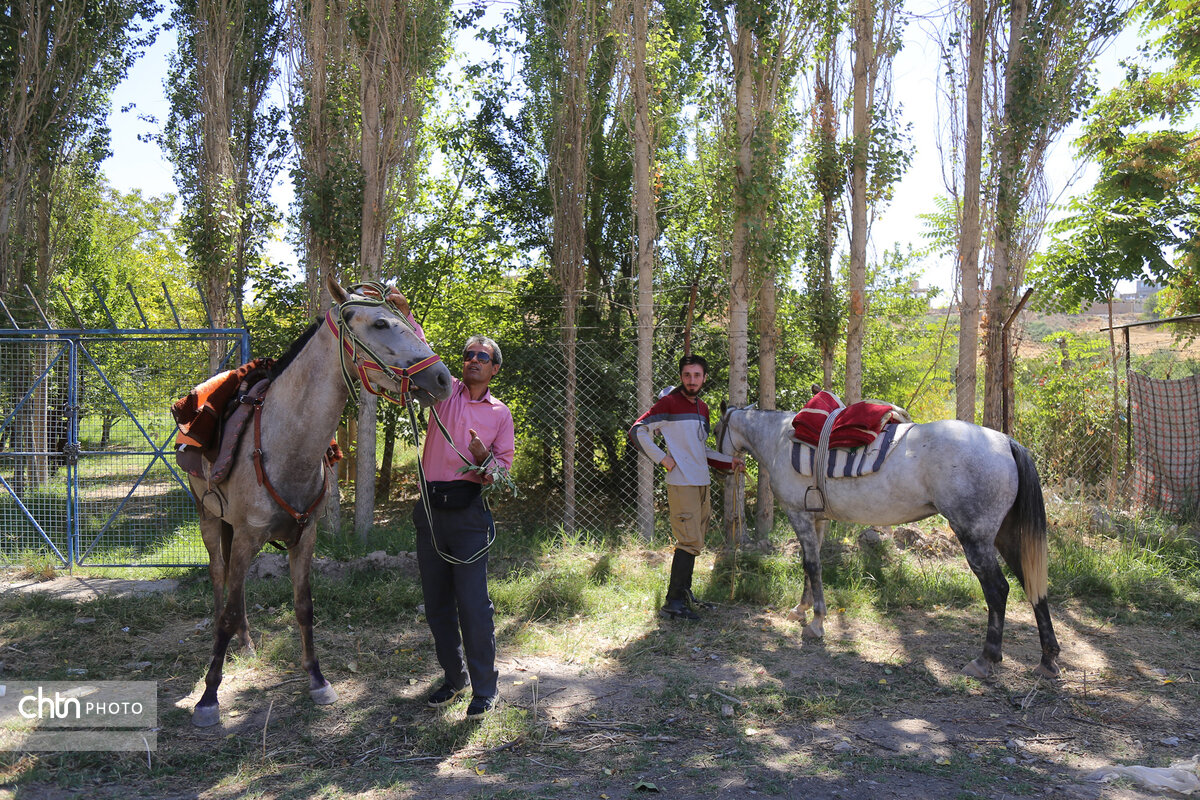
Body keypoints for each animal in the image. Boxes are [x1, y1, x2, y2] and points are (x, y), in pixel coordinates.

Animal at [189, 273, 451, 724]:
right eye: (381, 323)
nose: (442, 379)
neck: (285, 447)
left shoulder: (305, 537)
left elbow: (304, 606)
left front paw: (317, 680)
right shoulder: (246, 536)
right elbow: (226, 612)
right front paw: (208, 698)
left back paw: (247, 644)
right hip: (210, 520)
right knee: (221, 582)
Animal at [710, 407, 1060, 681]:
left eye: (715, 430)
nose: (718, 469)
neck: (780, 439)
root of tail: (1005, 442)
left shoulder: (799, 515)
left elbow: (811, 565)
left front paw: (817, 622)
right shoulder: (817, 519)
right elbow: (811, 566)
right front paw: (802, 608)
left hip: (975, 538)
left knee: (998, 589)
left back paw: (986, 659)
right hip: (1004, 535)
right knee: (1032, 584)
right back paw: (1048, 658)